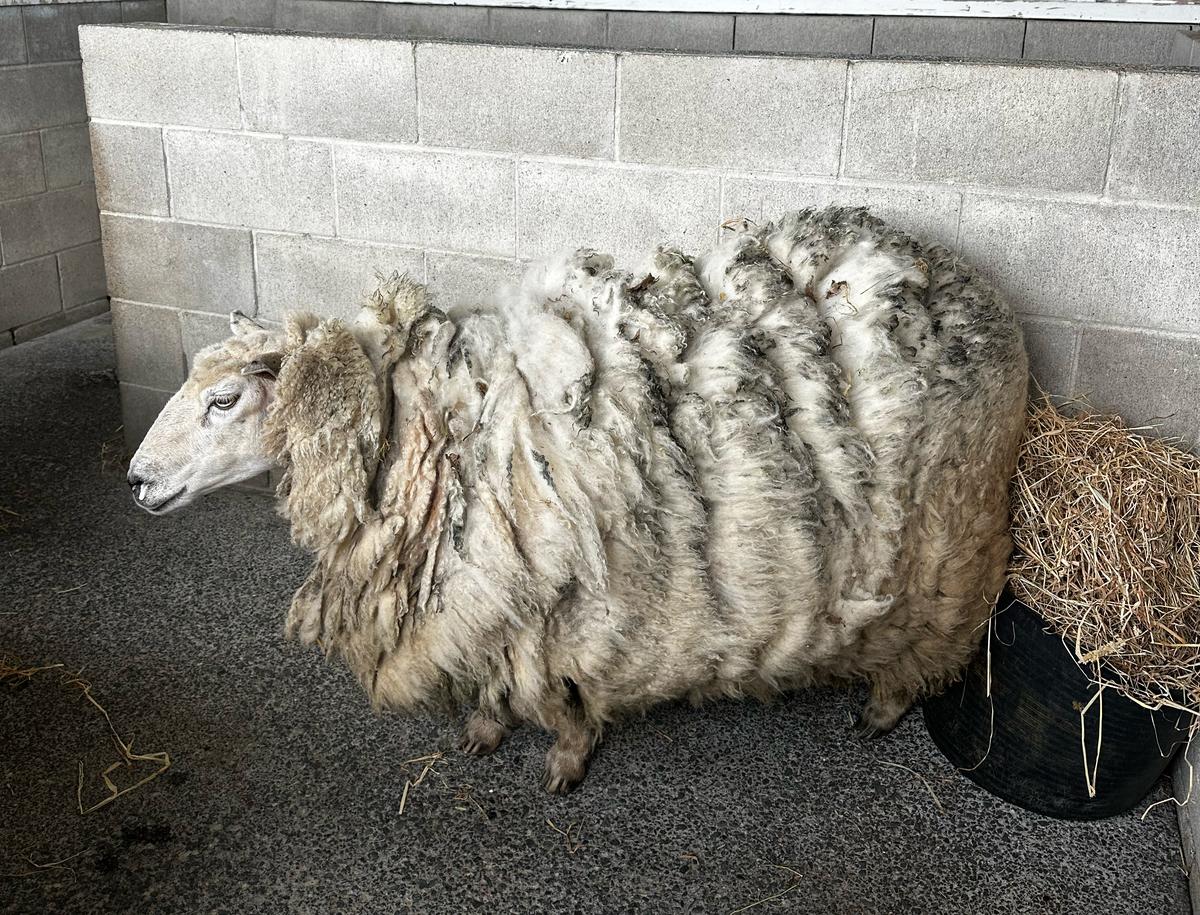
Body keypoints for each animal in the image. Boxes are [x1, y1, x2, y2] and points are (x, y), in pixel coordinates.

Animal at [128, 207, 1028, 793]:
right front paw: (484, 732)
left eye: (224, 402)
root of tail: (964, 277)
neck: (436, 433)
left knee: (928, 646)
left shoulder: (556, 606)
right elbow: (494, 679)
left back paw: (882, 706)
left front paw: (562, 759)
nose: (136, 479)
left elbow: (559, 696)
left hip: (947, 548)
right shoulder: (486, 599)